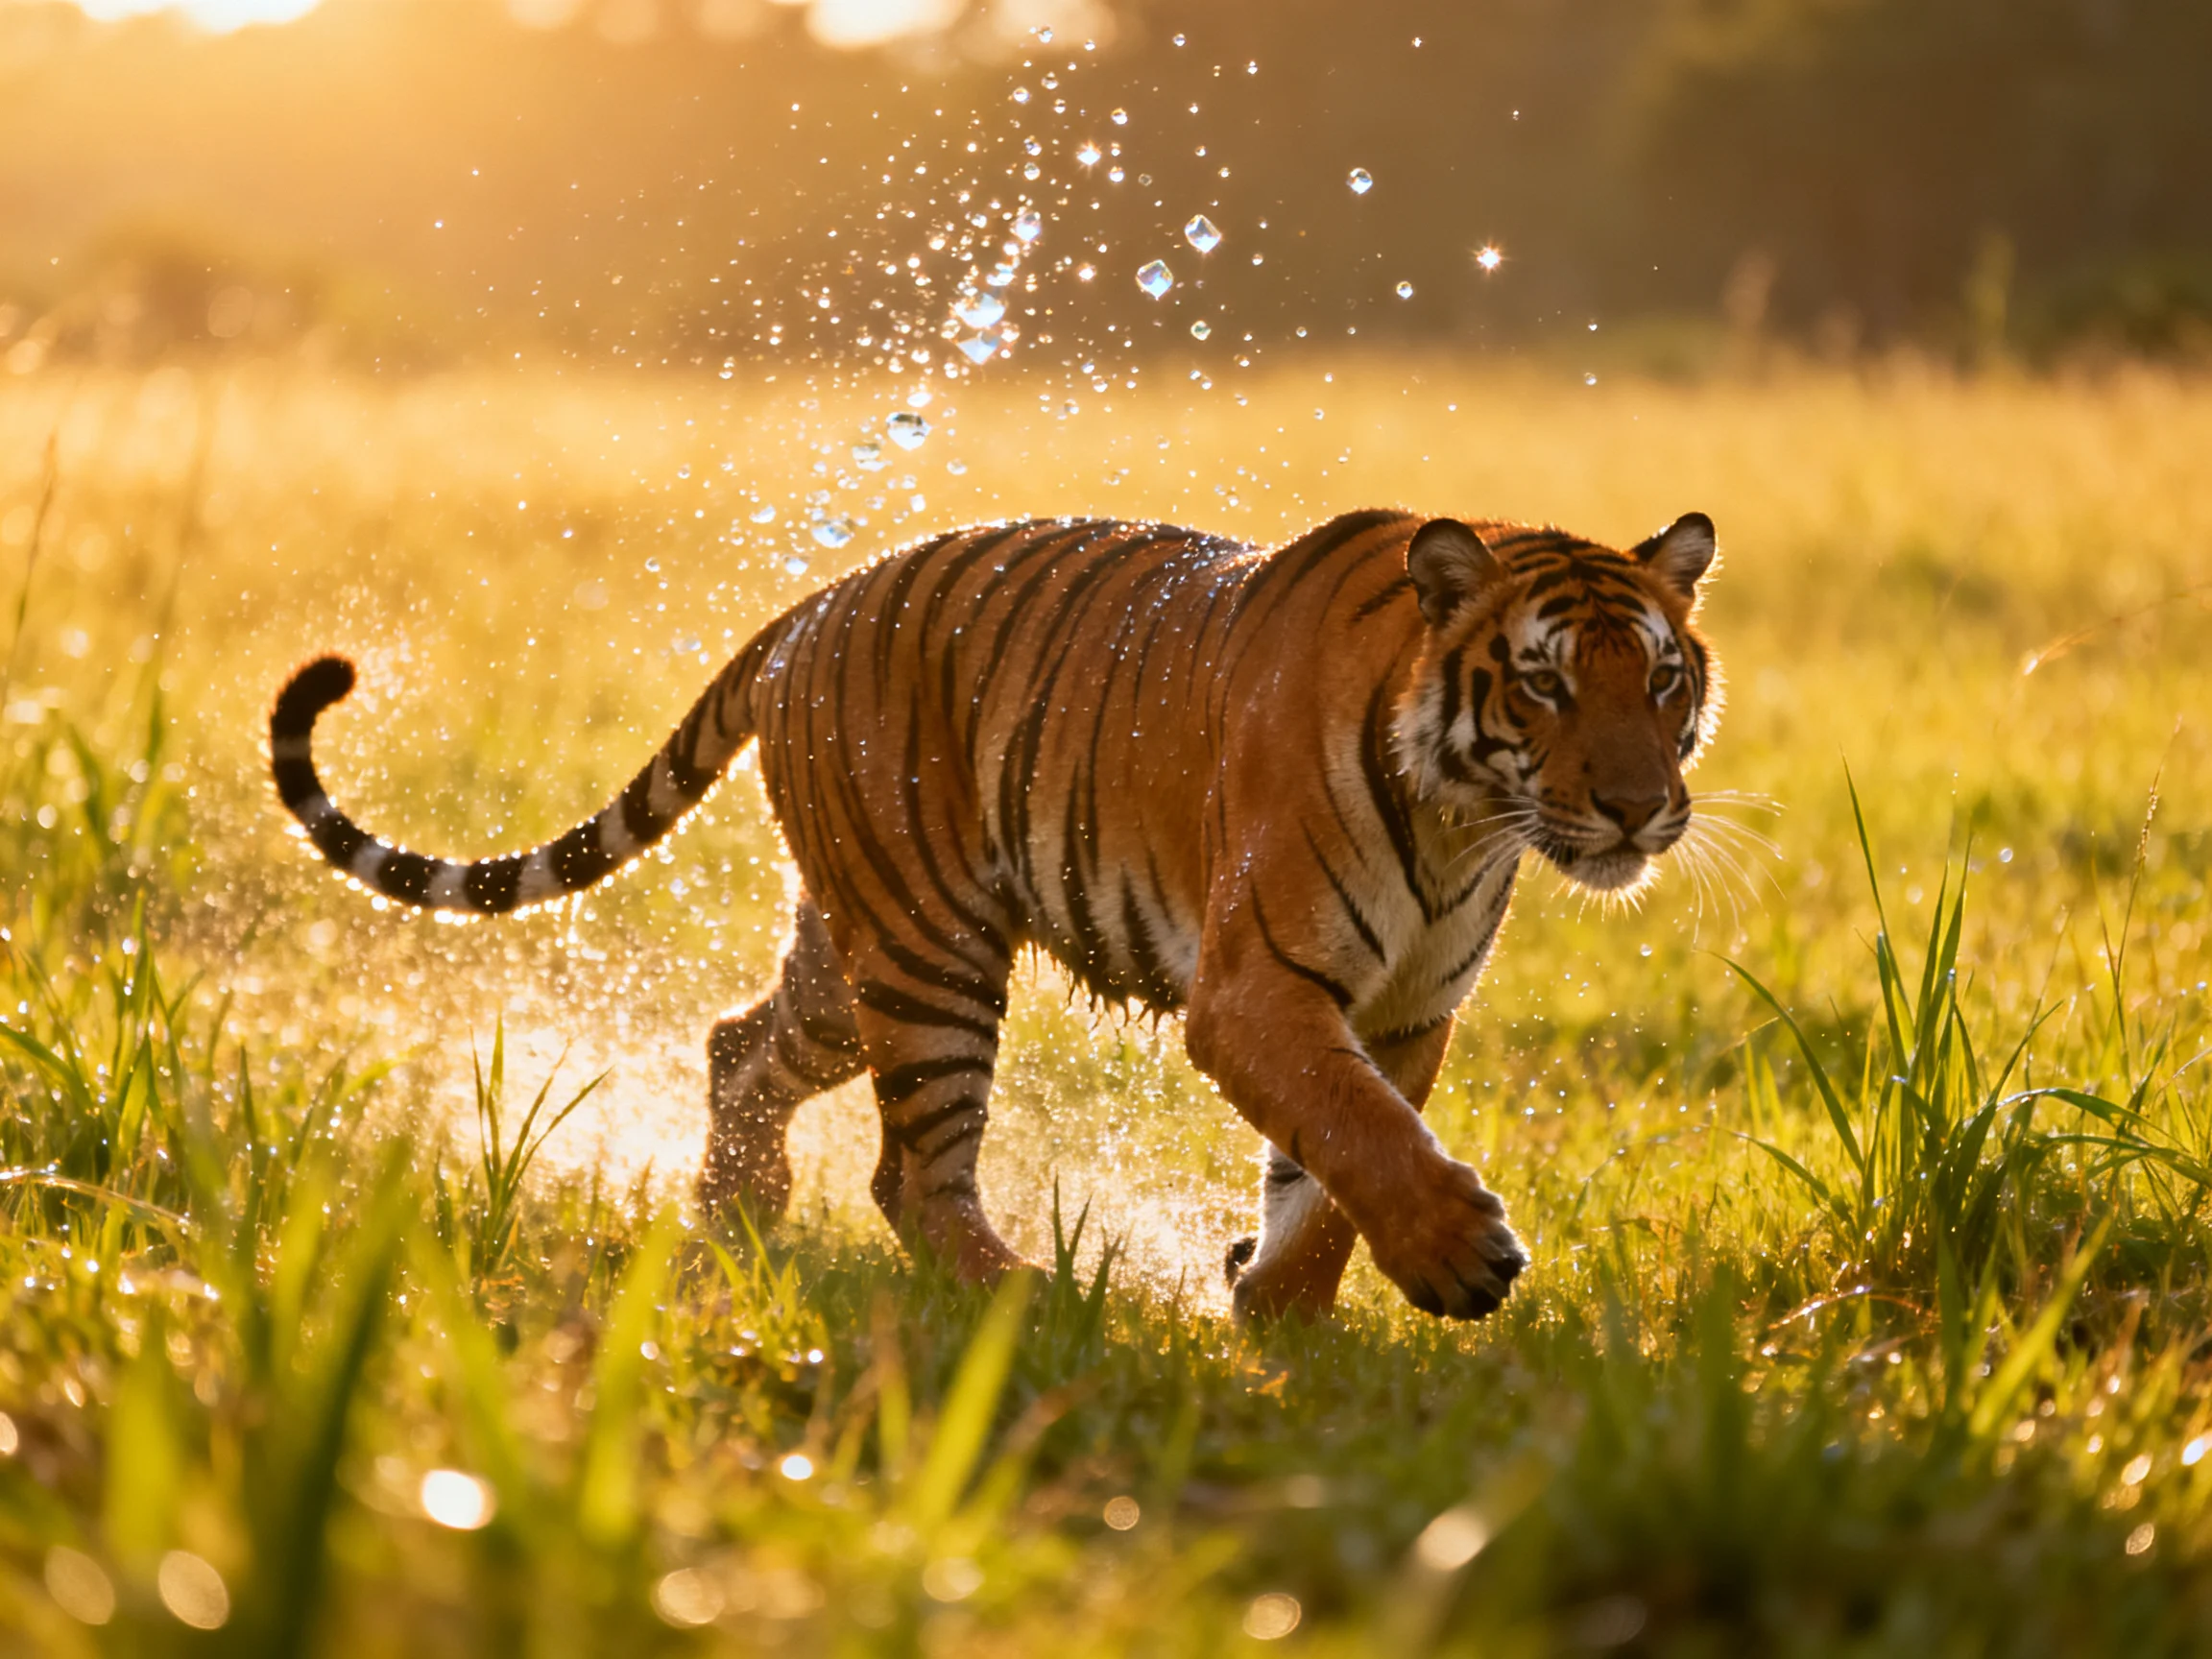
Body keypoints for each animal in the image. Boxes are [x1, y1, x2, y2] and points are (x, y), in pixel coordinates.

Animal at [269, 507, 1722, 1322]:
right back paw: (1030, 1297)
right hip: (930, 954)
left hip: (849, 956)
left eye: (1661, 681)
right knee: (913, 1176)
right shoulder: (1255, 990)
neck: (1466, 816)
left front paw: (1281, 1311)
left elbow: (1333, 1175)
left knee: (742, 1045)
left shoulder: (1408, 1010)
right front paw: (1457, 1260)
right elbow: (1362, 1135)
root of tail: (814, 602)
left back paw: (739, 1216)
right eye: (1542, 684)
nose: (1642, 809)